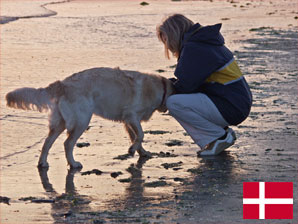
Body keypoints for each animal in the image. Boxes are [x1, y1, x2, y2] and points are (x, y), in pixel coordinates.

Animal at [5, 67, 175, 169]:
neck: (159, 88)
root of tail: (61, 84)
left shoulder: (127, 121)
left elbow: (135, 137)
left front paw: (140, 151)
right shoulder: (132, 116)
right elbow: (141, 134)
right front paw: (133, 149)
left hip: (60, 122)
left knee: (47, 143)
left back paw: (43, 163)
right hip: (82, 120)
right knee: (68, 143)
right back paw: (73, 164)